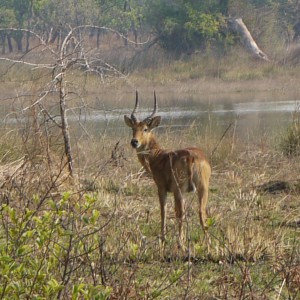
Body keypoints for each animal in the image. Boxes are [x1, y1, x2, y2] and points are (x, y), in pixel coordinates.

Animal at [124, 91, 211, 248]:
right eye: (133, 128)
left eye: (145, 128)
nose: (134, 142)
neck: (159, 155)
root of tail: (191, 157)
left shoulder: (161, 188)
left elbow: (163, 211)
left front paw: (163, 238)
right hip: (202, 188)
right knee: (201, 212)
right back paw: (207, 242)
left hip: (179, 190)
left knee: (180, 213)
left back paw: (180, 243)